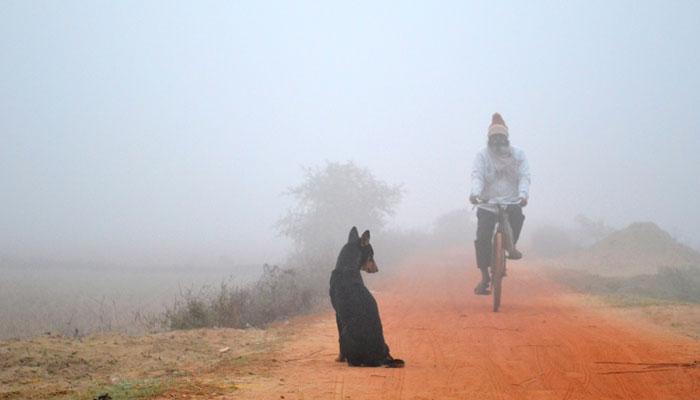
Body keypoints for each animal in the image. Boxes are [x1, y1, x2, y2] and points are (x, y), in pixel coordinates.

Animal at [328, 227, 404, 368]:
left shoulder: (337, 314)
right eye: (371, 256)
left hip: (346, 333)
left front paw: (339, 358)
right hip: (386, 346)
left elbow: (338, 342)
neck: (347, 266)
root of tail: (381, 358)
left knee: (354, 360)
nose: (377, 269)